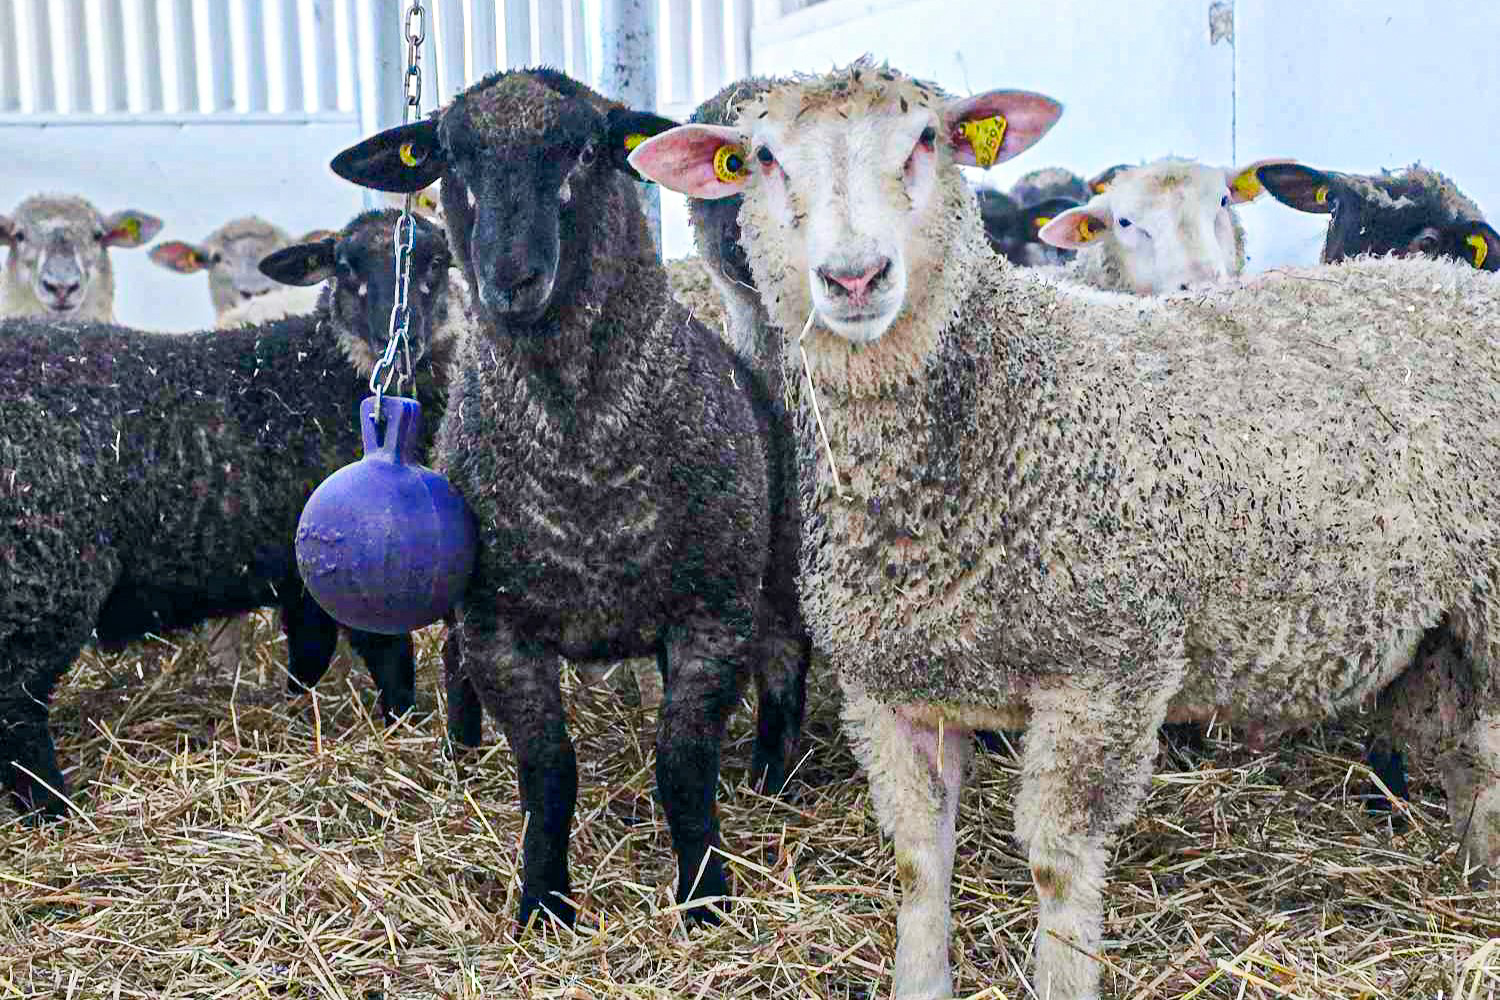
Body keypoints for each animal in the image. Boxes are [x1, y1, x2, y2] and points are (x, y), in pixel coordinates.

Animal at [0, 208, 463, 822]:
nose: (400, 339)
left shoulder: (302, 574)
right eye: (345, 266)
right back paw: (55, 808)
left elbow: (308, 657)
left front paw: (298, 713)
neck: (322, 373)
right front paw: (403, 727)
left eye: (437, 261)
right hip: (46, 578)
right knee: (15, 709)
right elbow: (390, 660)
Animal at [328, 66, 809, 929]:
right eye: (451, 156)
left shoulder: (711, 617)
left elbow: (683, 764)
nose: (511, 279)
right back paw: (461, 750)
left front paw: (705, 896)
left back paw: (772, 778)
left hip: (777, 564)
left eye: (587, 149)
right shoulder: (499, 631)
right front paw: (544, 901)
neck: (583, 457)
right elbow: (548, 772)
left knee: (786, 660)